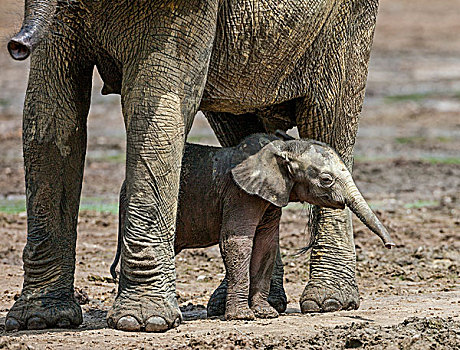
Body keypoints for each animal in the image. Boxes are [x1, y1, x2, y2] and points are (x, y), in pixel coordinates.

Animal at [112, 133, 396, 322]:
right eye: (326, 180)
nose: (390, 245)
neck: (284, 147)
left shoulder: (270, 196)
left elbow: (266, 246)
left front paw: (265, 314)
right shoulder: (240, 194)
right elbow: (238, 243)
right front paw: (242, 317)